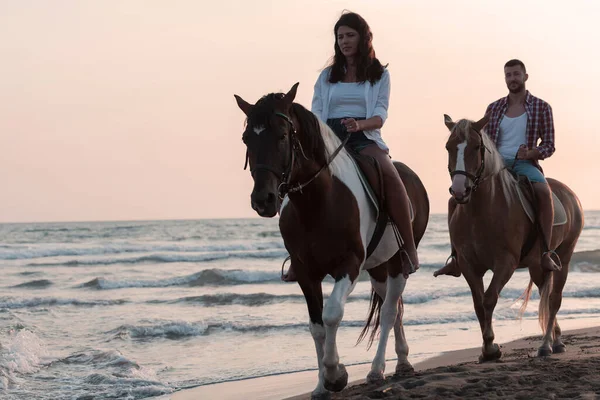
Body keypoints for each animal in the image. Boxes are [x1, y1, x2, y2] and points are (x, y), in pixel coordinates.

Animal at [232, 83, 428, 398]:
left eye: (283, 135)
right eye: (246, 138)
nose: (263, 199)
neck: (318, 203)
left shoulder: (348, 265)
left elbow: (332, 314)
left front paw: (337, 375)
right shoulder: (305, 273)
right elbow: (316, 326)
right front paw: (322, 385)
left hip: (399, 262)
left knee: (388, 311)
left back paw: (377, 369)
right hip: (378, 266)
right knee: (394, 308)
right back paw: (402, 362)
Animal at [442, 115, 584, 360]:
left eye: (476, 147)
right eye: (449, 147)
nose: (460, 191)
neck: (480, 212)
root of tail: (571, 195)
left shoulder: (505, 263)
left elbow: (489, 298)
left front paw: (491, 347)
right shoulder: (469, 266)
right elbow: (478, 304)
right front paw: (486, 349)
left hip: (564, 258)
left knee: (554, 299)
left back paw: (546, 345)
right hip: (537, 265)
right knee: (545, 295)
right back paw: (555, 340)